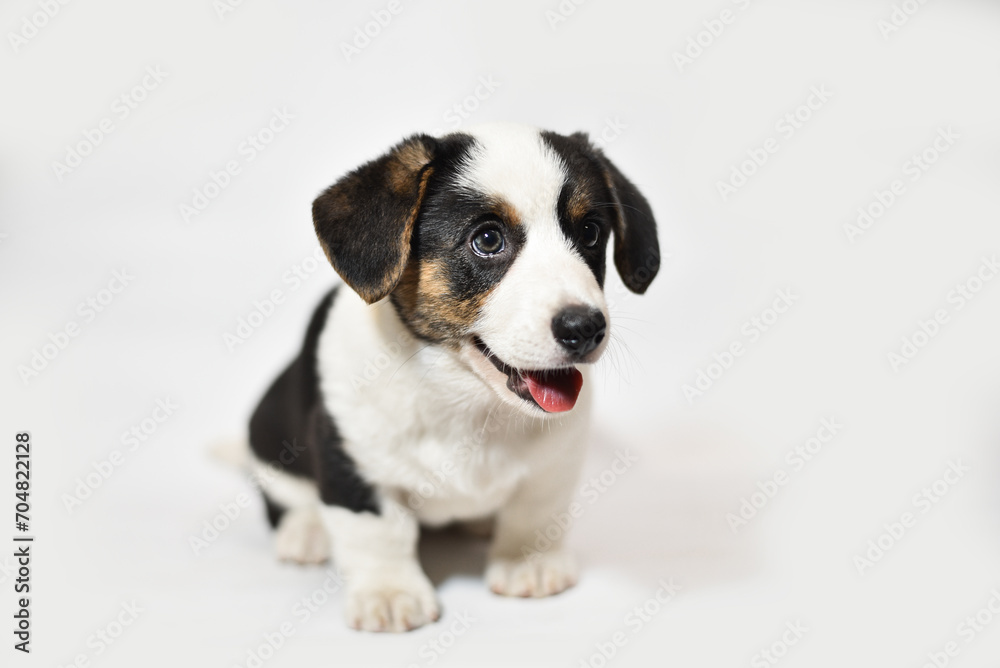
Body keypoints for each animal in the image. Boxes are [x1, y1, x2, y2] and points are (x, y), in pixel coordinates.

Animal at [246, 124, 660, 632]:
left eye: (590, 232)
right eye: (487, 239)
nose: (586, 328)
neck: (464, 400)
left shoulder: (554, 463)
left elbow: (534, 511)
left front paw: (528, 564)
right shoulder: (353, 464)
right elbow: (378, 533)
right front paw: (390, 593)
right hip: (268, 430)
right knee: (285, 493)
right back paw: (305, 532)